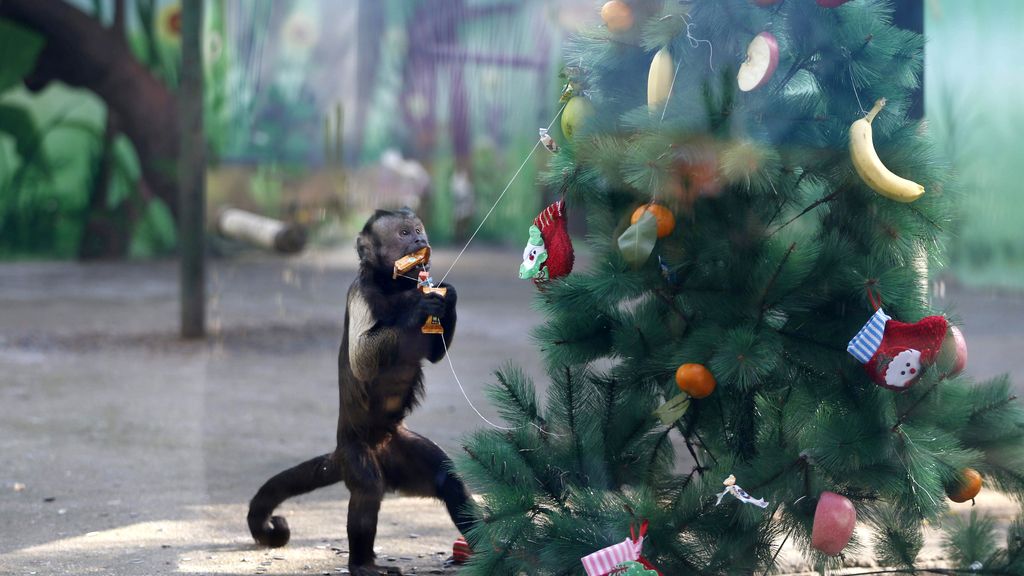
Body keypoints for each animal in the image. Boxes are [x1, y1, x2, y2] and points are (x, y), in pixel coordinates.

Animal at [247, 208, 475, 576]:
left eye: (419, 229)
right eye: (404, 233)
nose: (420, 240)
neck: (392, 285)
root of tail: (344, 447)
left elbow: (435, 352)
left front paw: (447, 294)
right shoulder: (360, 295)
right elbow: (362, 359)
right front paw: (417, 305)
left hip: (398, 448)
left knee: (447, 479)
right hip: (356, 453)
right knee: (368, 489)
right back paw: (362, 563)